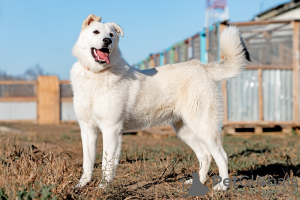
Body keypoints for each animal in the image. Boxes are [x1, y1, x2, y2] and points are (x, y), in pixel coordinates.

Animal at [71, 14, 251, 191]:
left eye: (111, 35)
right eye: (96, 32)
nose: (107, 41)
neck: (96, 75)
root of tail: (203, 67)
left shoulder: (111, 129)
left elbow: (106, 164)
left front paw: (103, 187)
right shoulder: (87, 129)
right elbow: (88, 163)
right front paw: (81, 185)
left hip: (204, 127)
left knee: (222, 156)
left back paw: (222, 187)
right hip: (185, 130)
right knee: (205, 155)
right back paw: (197, 183)